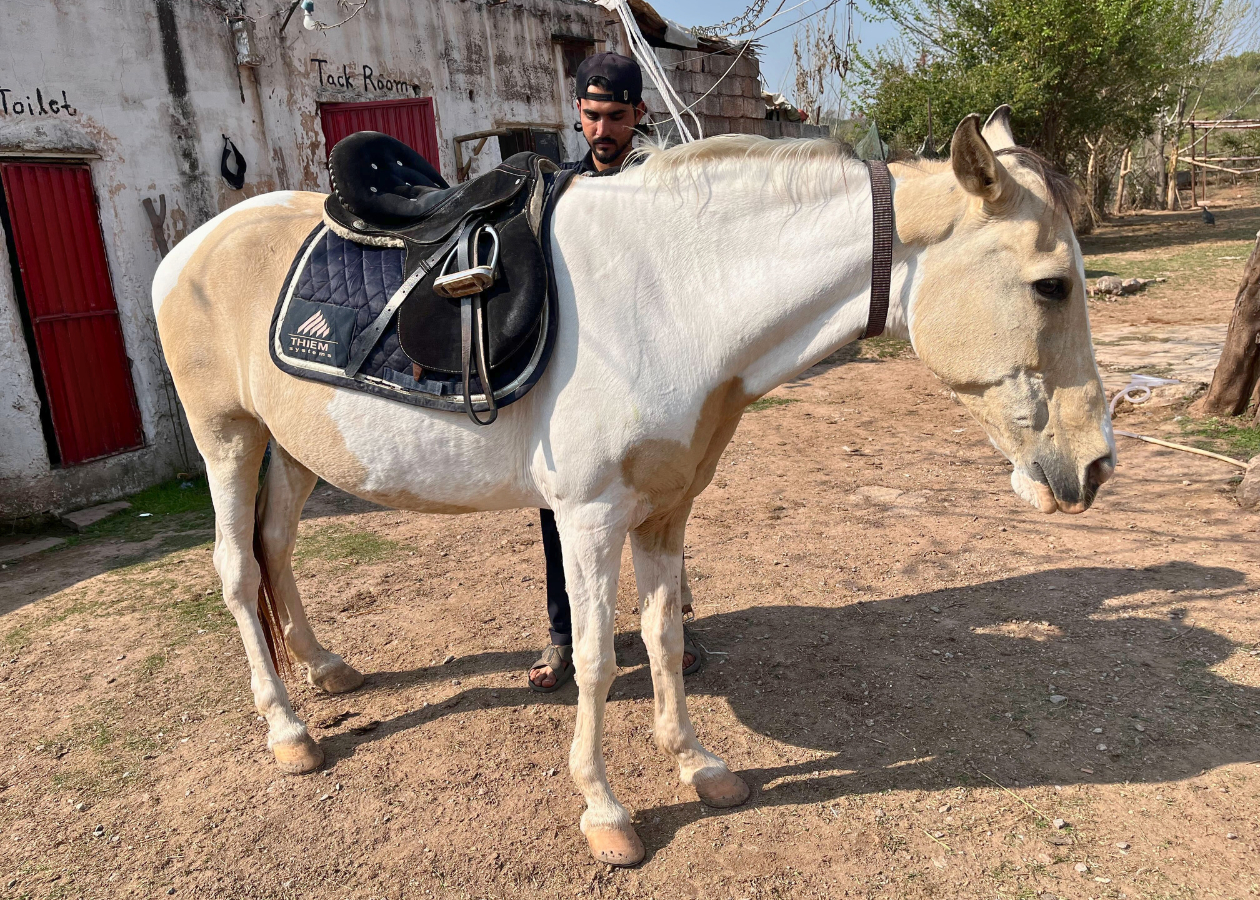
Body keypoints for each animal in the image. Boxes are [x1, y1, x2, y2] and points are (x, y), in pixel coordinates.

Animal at [151, 108, 1115, 865]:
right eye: (1050, 284)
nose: (1097, 466)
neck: (673, 298)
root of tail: (185, 251)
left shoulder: (666, 511)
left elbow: (661, 638)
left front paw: (697, 765)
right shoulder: (588, 518)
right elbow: (592, 660)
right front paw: (606, 812)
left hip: (294, 448)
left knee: (277, 549)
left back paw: (324, 670)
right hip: (228, 438)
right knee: (238, 570)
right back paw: (288, 732)